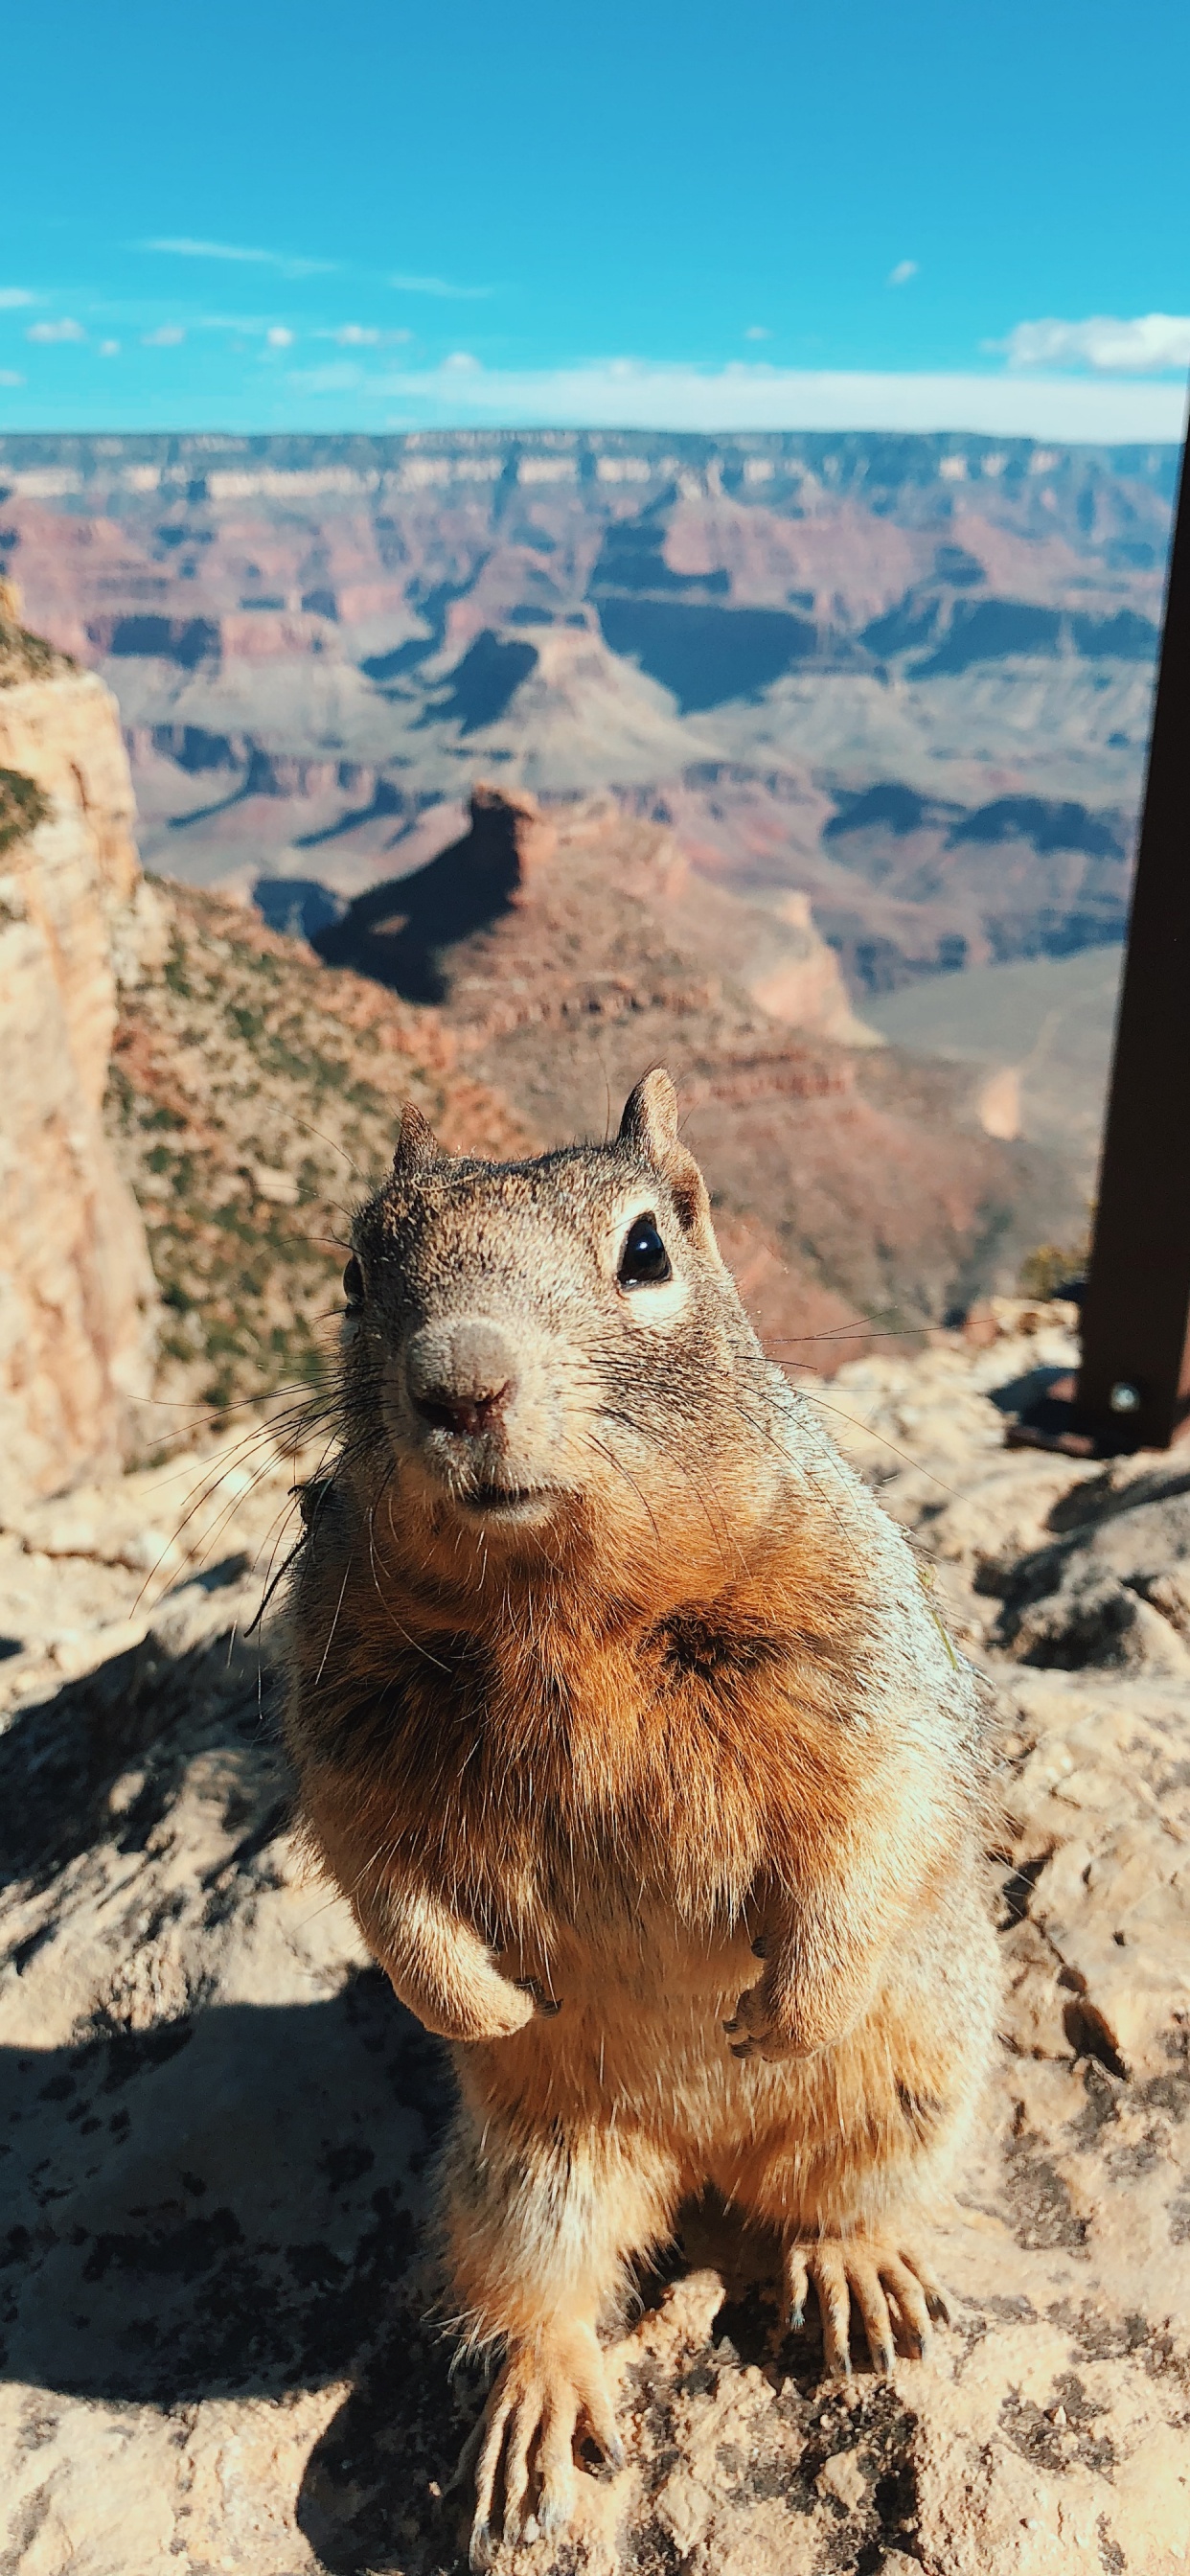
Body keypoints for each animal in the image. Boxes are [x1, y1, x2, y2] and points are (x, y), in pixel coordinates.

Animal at [284, 1068, 999, 2567]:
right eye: (355, 1273)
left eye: (648, 1251)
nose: (459, 1384)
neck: (562, 1611)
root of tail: (699, 2156)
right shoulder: (338, 1706)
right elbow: (378, 1874)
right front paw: (479, 2001)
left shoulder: (860, 1640)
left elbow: (879, 1804)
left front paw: (789, 2002)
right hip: (525, 2170)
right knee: (534, 2288)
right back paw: (538, 2408)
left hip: (913, 2085)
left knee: (833, 2199)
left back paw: (857, 2272)